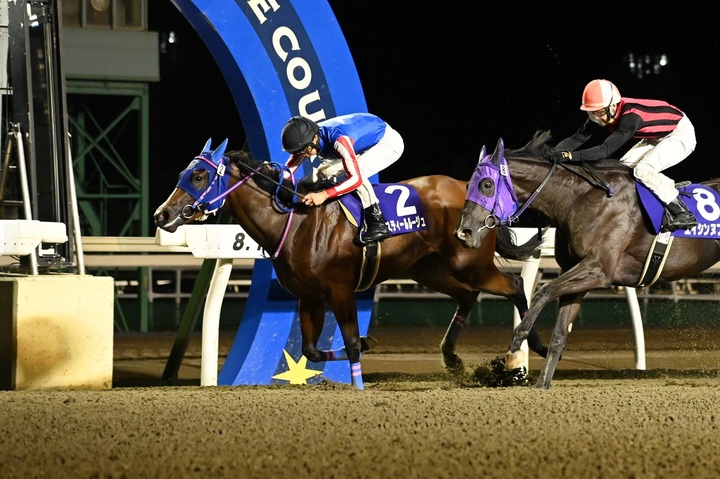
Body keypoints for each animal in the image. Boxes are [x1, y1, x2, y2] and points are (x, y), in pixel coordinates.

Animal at [153, 138, 548, 390]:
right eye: (184, 173)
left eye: (199, 176)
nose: (162, 215)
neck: (296, 222)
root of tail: (475, 196)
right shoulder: (309, 296)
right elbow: (311, 349)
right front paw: (369, 343)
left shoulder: (339, 290)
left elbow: (352, 341)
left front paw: (359, 383)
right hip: (429, 268)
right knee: (467, 296)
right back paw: (452, 359)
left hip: (470, 264)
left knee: (515, 286)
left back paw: (531, 353)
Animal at [454, 129, 720, 389]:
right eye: (467, 186)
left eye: (486, 184)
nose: (463, 233)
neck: (579, 199)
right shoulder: (575, 271)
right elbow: (560, 331)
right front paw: (542, 383)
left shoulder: (598, 270)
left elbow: (543, 292)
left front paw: (517, 343)